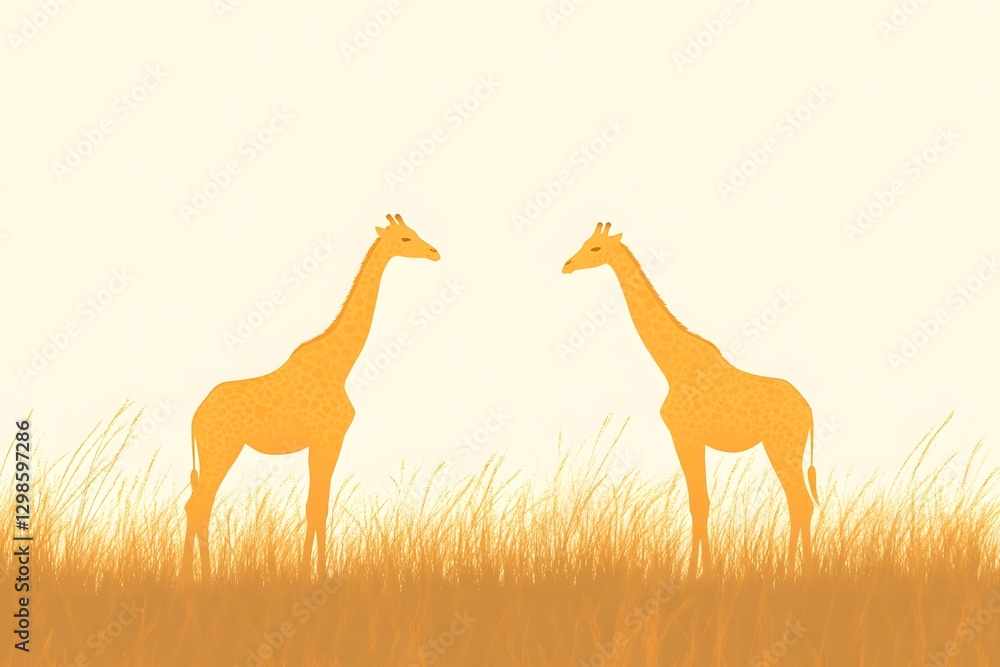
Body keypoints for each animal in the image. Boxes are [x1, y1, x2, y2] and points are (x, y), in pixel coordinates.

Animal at [181, 214, 440, 583]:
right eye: (405, 239)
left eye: (415, 233)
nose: (435, 252)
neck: (340, 366)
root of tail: (195, 417)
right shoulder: (328, 439)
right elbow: (317, 507)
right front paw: (314, 577)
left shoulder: (324, 442)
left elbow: (318, 505)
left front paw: (314, 574)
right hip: (221, 448)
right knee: (198, 504)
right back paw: (191, 579)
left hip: (215, 452)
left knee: (200, 503)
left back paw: (202, 576)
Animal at [562, 222, 818, 576]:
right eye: (585, 242)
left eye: (596, 248)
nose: (567, 265)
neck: (672, 367)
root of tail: (808, 410)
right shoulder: (689, 438)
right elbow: (698, 502)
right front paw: (700, 571)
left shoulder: (686, 436)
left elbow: (699, 503)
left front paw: (699, 574)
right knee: (799, 503)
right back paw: (793, 571)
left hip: (782, 446)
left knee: (801, 502)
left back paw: (799, 574)